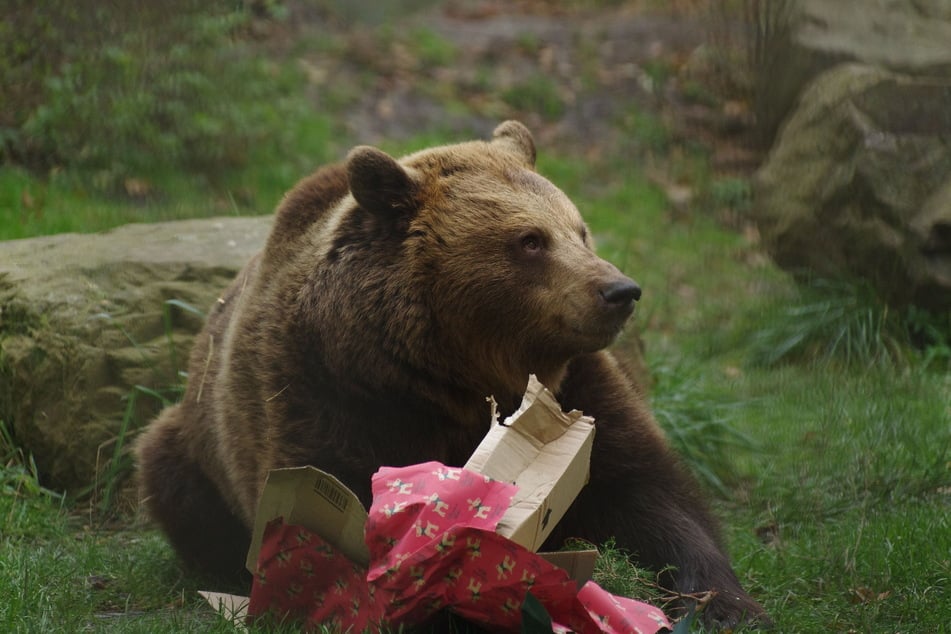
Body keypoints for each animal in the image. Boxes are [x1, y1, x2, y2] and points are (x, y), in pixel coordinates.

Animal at [136, 121, 768, 624]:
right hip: (192, 440)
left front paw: (727, 603)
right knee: (174, 481)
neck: (457, 376)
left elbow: (650, 490)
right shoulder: (326, 392)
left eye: (580, 229)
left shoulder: (580, 387)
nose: (619, 291)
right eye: (530, 240)